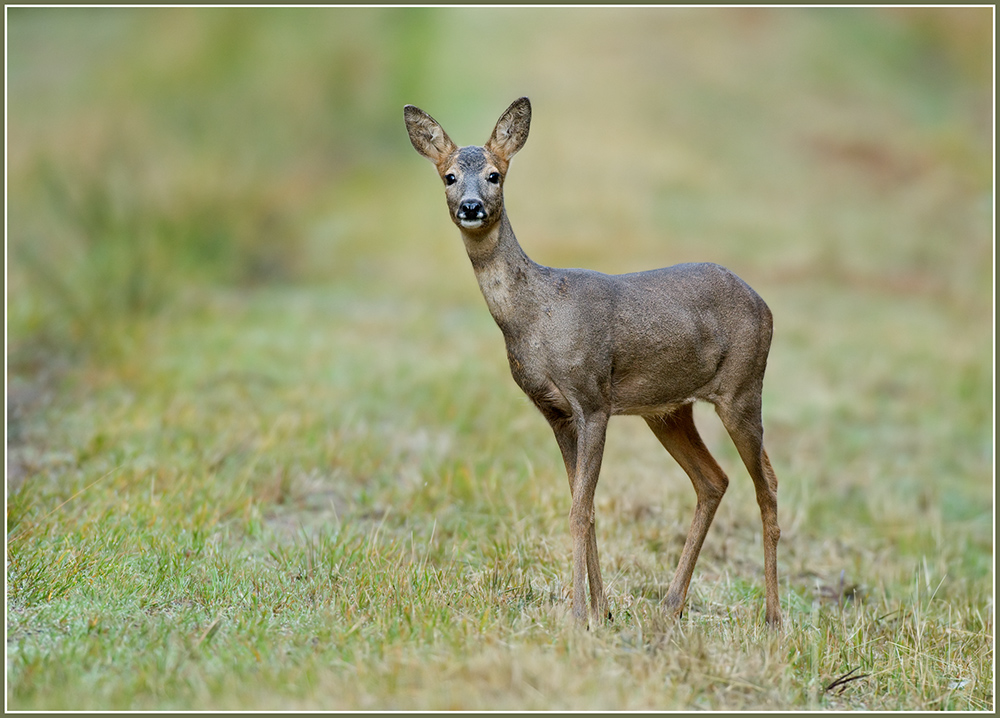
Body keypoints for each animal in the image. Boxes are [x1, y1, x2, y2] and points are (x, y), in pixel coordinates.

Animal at [404, 97, 780, 632]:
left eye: (495, 175)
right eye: (450, 176)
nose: (471, 207)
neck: (536, 315)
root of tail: (766, 307)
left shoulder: (592, 398)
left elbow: (579, 510)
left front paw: (579, 614)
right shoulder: (556, 412)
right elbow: (584, 504)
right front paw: (602, 611)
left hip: (743, 389)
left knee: (766, 485)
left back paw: (772, 617)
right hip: (668, 410)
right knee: (713, 480)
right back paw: (670, 604)